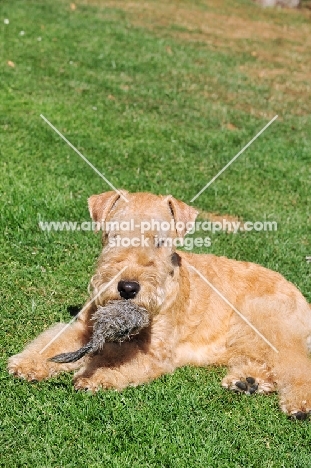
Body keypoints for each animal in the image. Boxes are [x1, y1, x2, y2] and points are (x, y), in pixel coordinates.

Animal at [7, 190, 311, 420]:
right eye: (114, 235)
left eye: (160, 240)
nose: (128, 288)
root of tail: (301, 297)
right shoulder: (83, 328)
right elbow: (53, 343)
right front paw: (27, 364)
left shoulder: (156, 353)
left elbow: (120, 362)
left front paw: (94, 377)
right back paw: (247, 382)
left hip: (268, 326)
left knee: (295, 364)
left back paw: (298, 404)